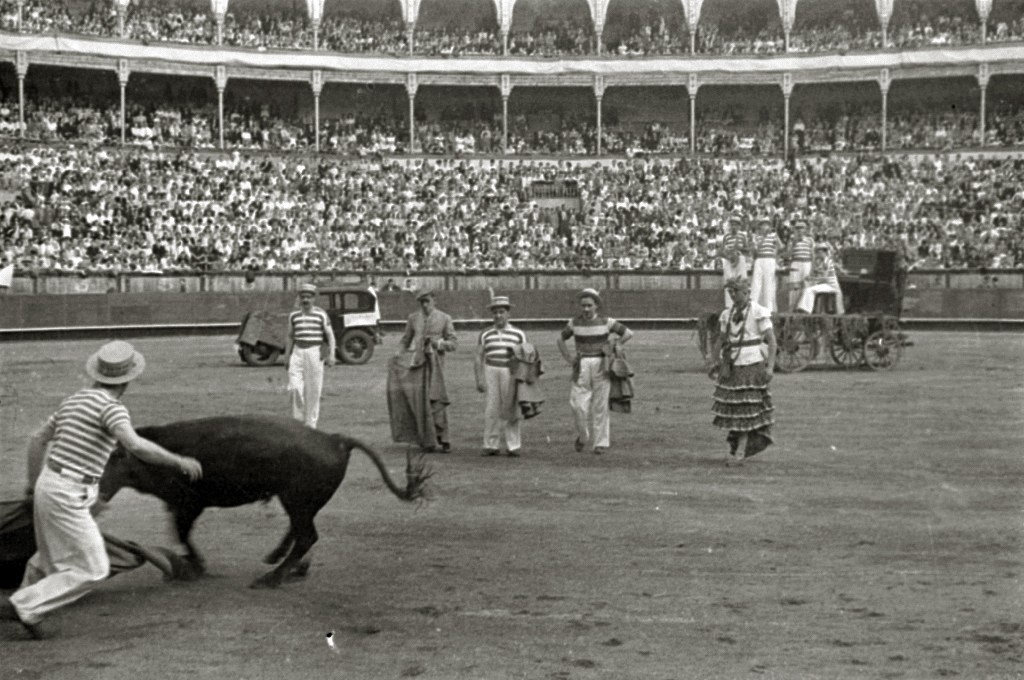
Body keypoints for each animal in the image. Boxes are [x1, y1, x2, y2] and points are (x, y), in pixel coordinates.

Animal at [99, 415, 430, 589]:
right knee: (300, 531)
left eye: (113, 459)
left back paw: (272, 577)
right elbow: (180, 534)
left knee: (307, 535)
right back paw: (283, 562)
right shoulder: (180, 506)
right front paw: (192, 565)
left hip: (296, 499)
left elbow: (183, 534)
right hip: (297, 501)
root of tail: (335, 439)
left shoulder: (188, 505)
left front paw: (195, 566)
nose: (99, 491)